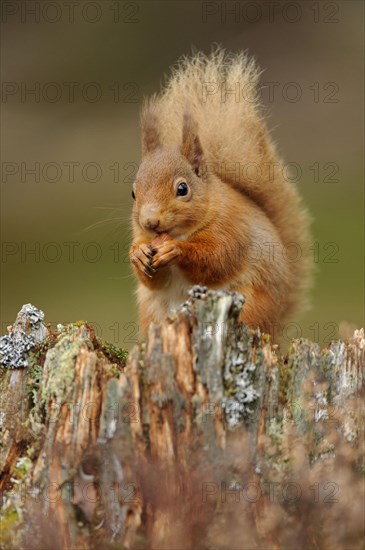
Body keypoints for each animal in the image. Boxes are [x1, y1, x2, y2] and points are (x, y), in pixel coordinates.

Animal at [128, 49, 310, 338]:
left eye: (182, 189)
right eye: (134, 193)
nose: (150, 221)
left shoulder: (231, 228)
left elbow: (216, 260)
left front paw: (175, 249)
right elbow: (154, 281)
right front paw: (138, 253)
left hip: (250, 308)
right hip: (153, 313)